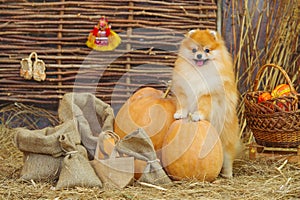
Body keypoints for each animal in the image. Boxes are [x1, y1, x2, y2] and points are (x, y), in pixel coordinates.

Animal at [172, 28, 240, 177]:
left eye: (207, 50)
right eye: (194, 50)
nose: (199, 55)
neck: (199, 71)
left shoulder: (208, 95)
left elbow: (203, 105)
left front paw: (197, 115)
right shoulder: (184, 91)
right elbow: (183, 104)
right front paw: (180, 114)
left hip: (225, 138)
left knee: (228, 157)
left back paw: (227, 174)